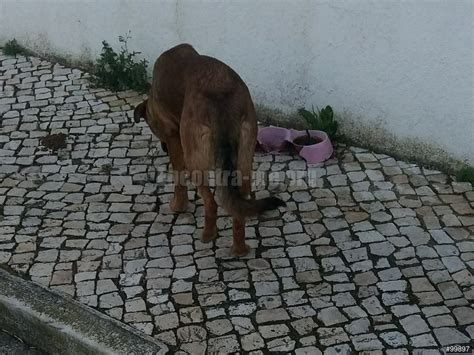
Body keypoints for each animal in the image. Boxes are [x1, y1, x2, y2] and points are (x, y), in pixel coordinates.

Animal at [133, 43, 284, 256]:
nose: (162, 148)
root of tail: (220, 98)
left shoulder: (173, 137)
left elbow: (178, 178)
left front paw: (177, 206)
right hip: (245, 160)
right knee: (238, 207)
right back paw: (239, 249)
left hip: (195, 162)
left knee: (211, 203)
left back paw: (208, 235)